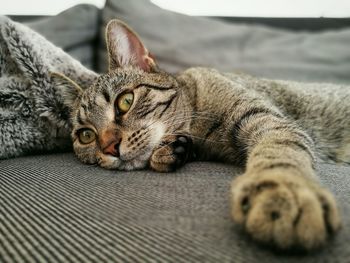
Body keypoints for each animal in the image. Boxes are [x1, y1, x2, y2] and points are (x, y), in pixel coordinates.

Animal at [52, 20, 348, 252]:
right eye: (86, 135)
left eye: (125, 102)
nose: (109, 147)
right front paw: (174, 150)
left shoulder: (268, 120)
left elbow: (280, 151)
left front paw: (285, 191)